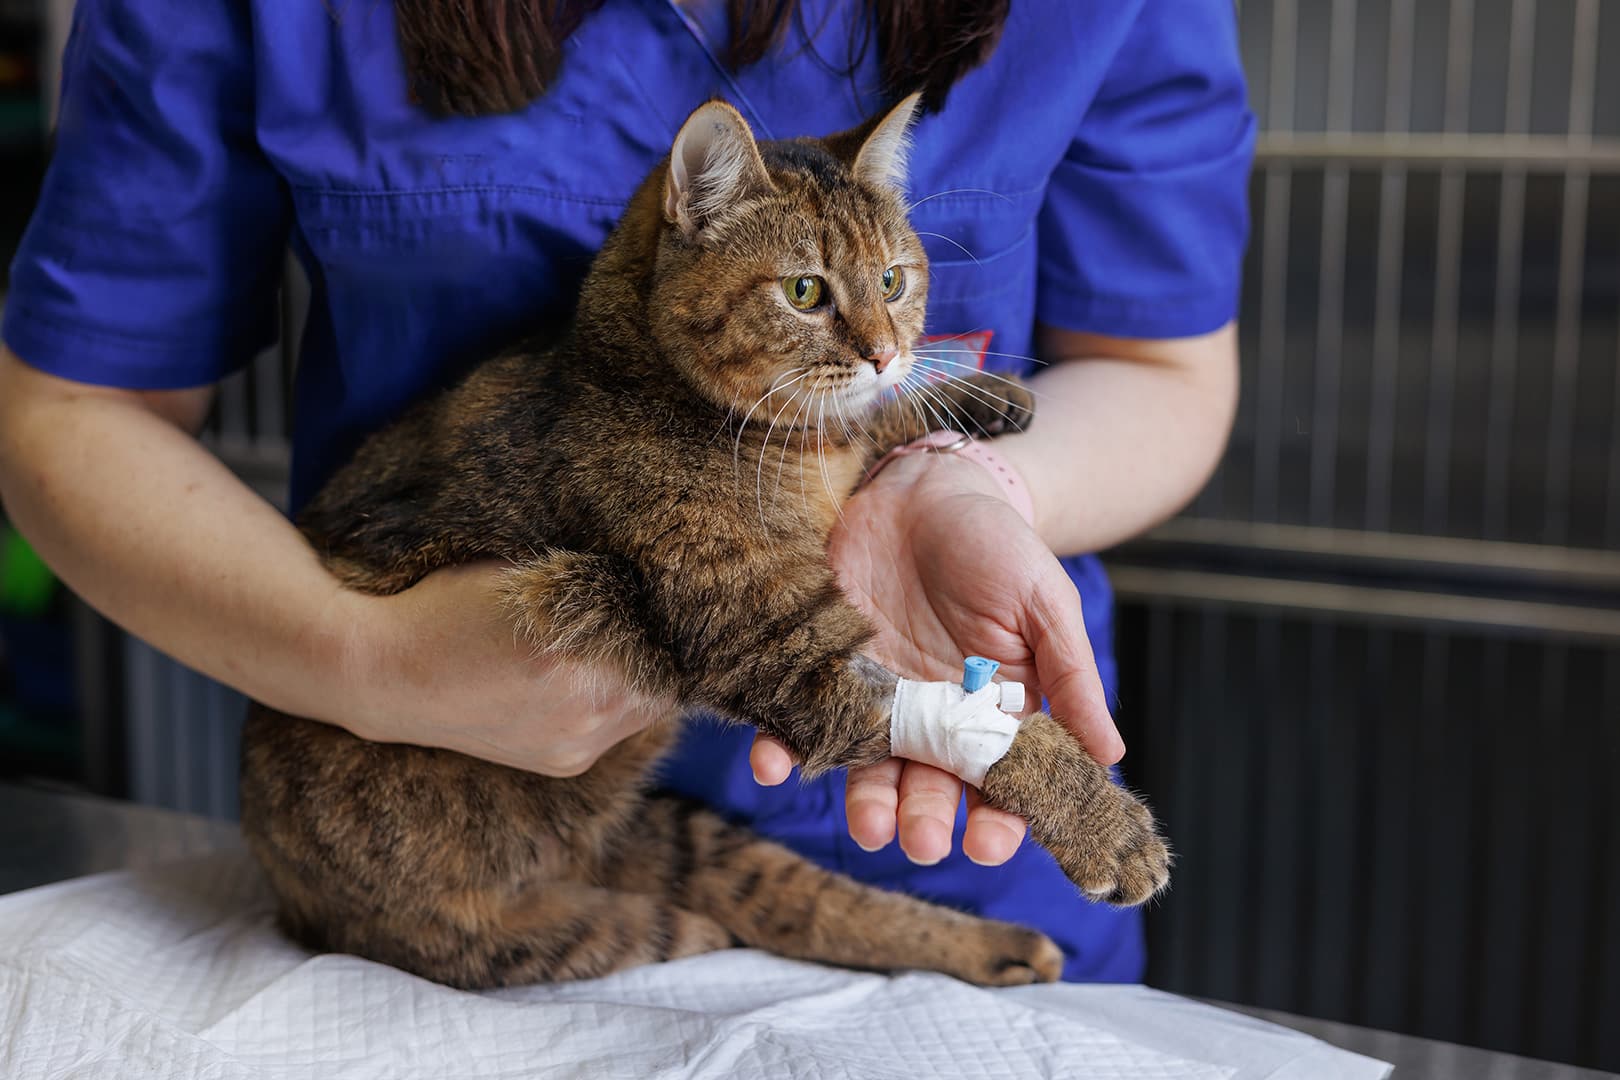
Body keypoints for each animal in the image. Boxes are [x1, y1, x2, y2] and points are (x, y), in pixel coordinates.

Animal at [236, 97, 1166, 990]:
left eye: (893, 280)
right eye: (805, 291)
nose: (884, 350)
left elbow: (871, 420)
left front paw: (974, 394)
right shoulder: (782, 647)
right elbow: (996, 730)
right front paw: (1102, 823)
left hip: (689, 838)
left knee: (807, 904)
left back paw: (1003, 947)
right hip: (484, 921)